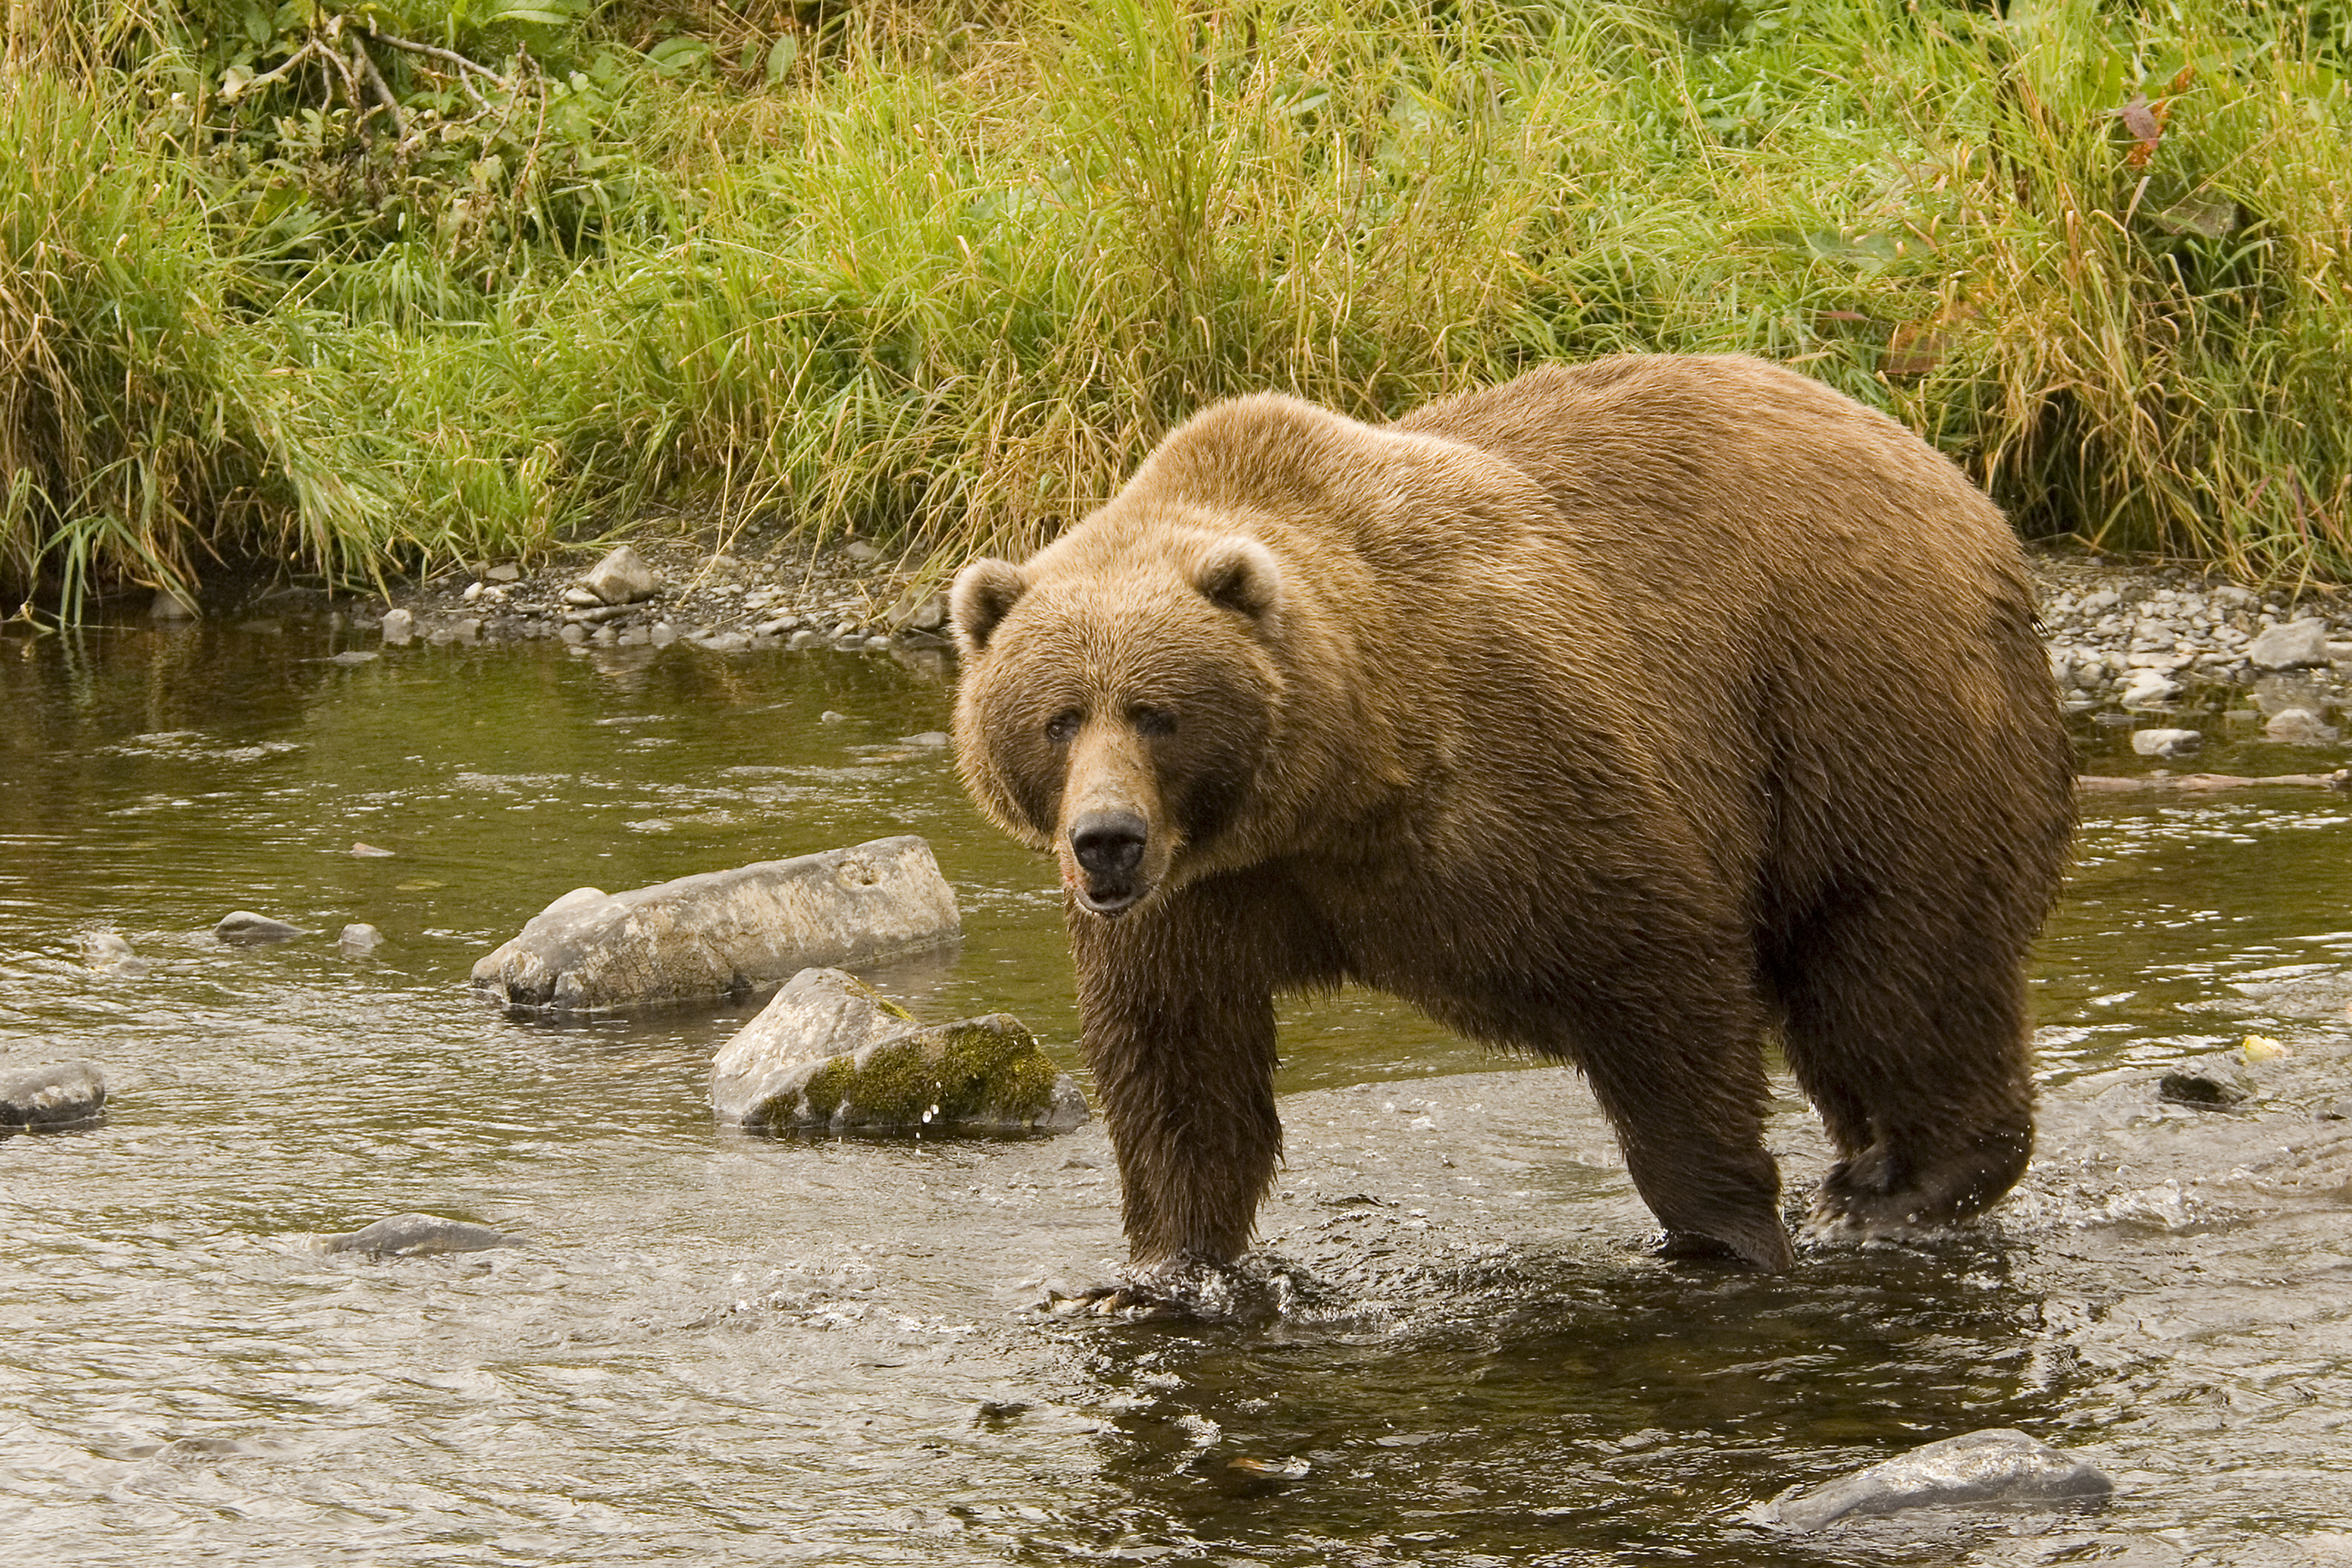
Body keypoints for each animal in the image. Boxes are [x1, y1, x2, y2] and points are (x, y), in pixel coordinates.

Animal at [945, 352, 2070, 1288]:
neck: (1341, 785)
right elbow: (1178, 1065)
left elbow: (1659, 973)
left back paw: (1899, 1185)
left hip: (1864, 703)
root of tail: (1951, 478)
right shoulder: (1202, 896)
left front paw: (1725, 1228)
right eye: (1057, 718)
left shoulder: (1522, 774)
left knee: (1898, 961)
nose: (1106, 839)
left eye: (1156, 712)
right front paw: (1167, 1272)